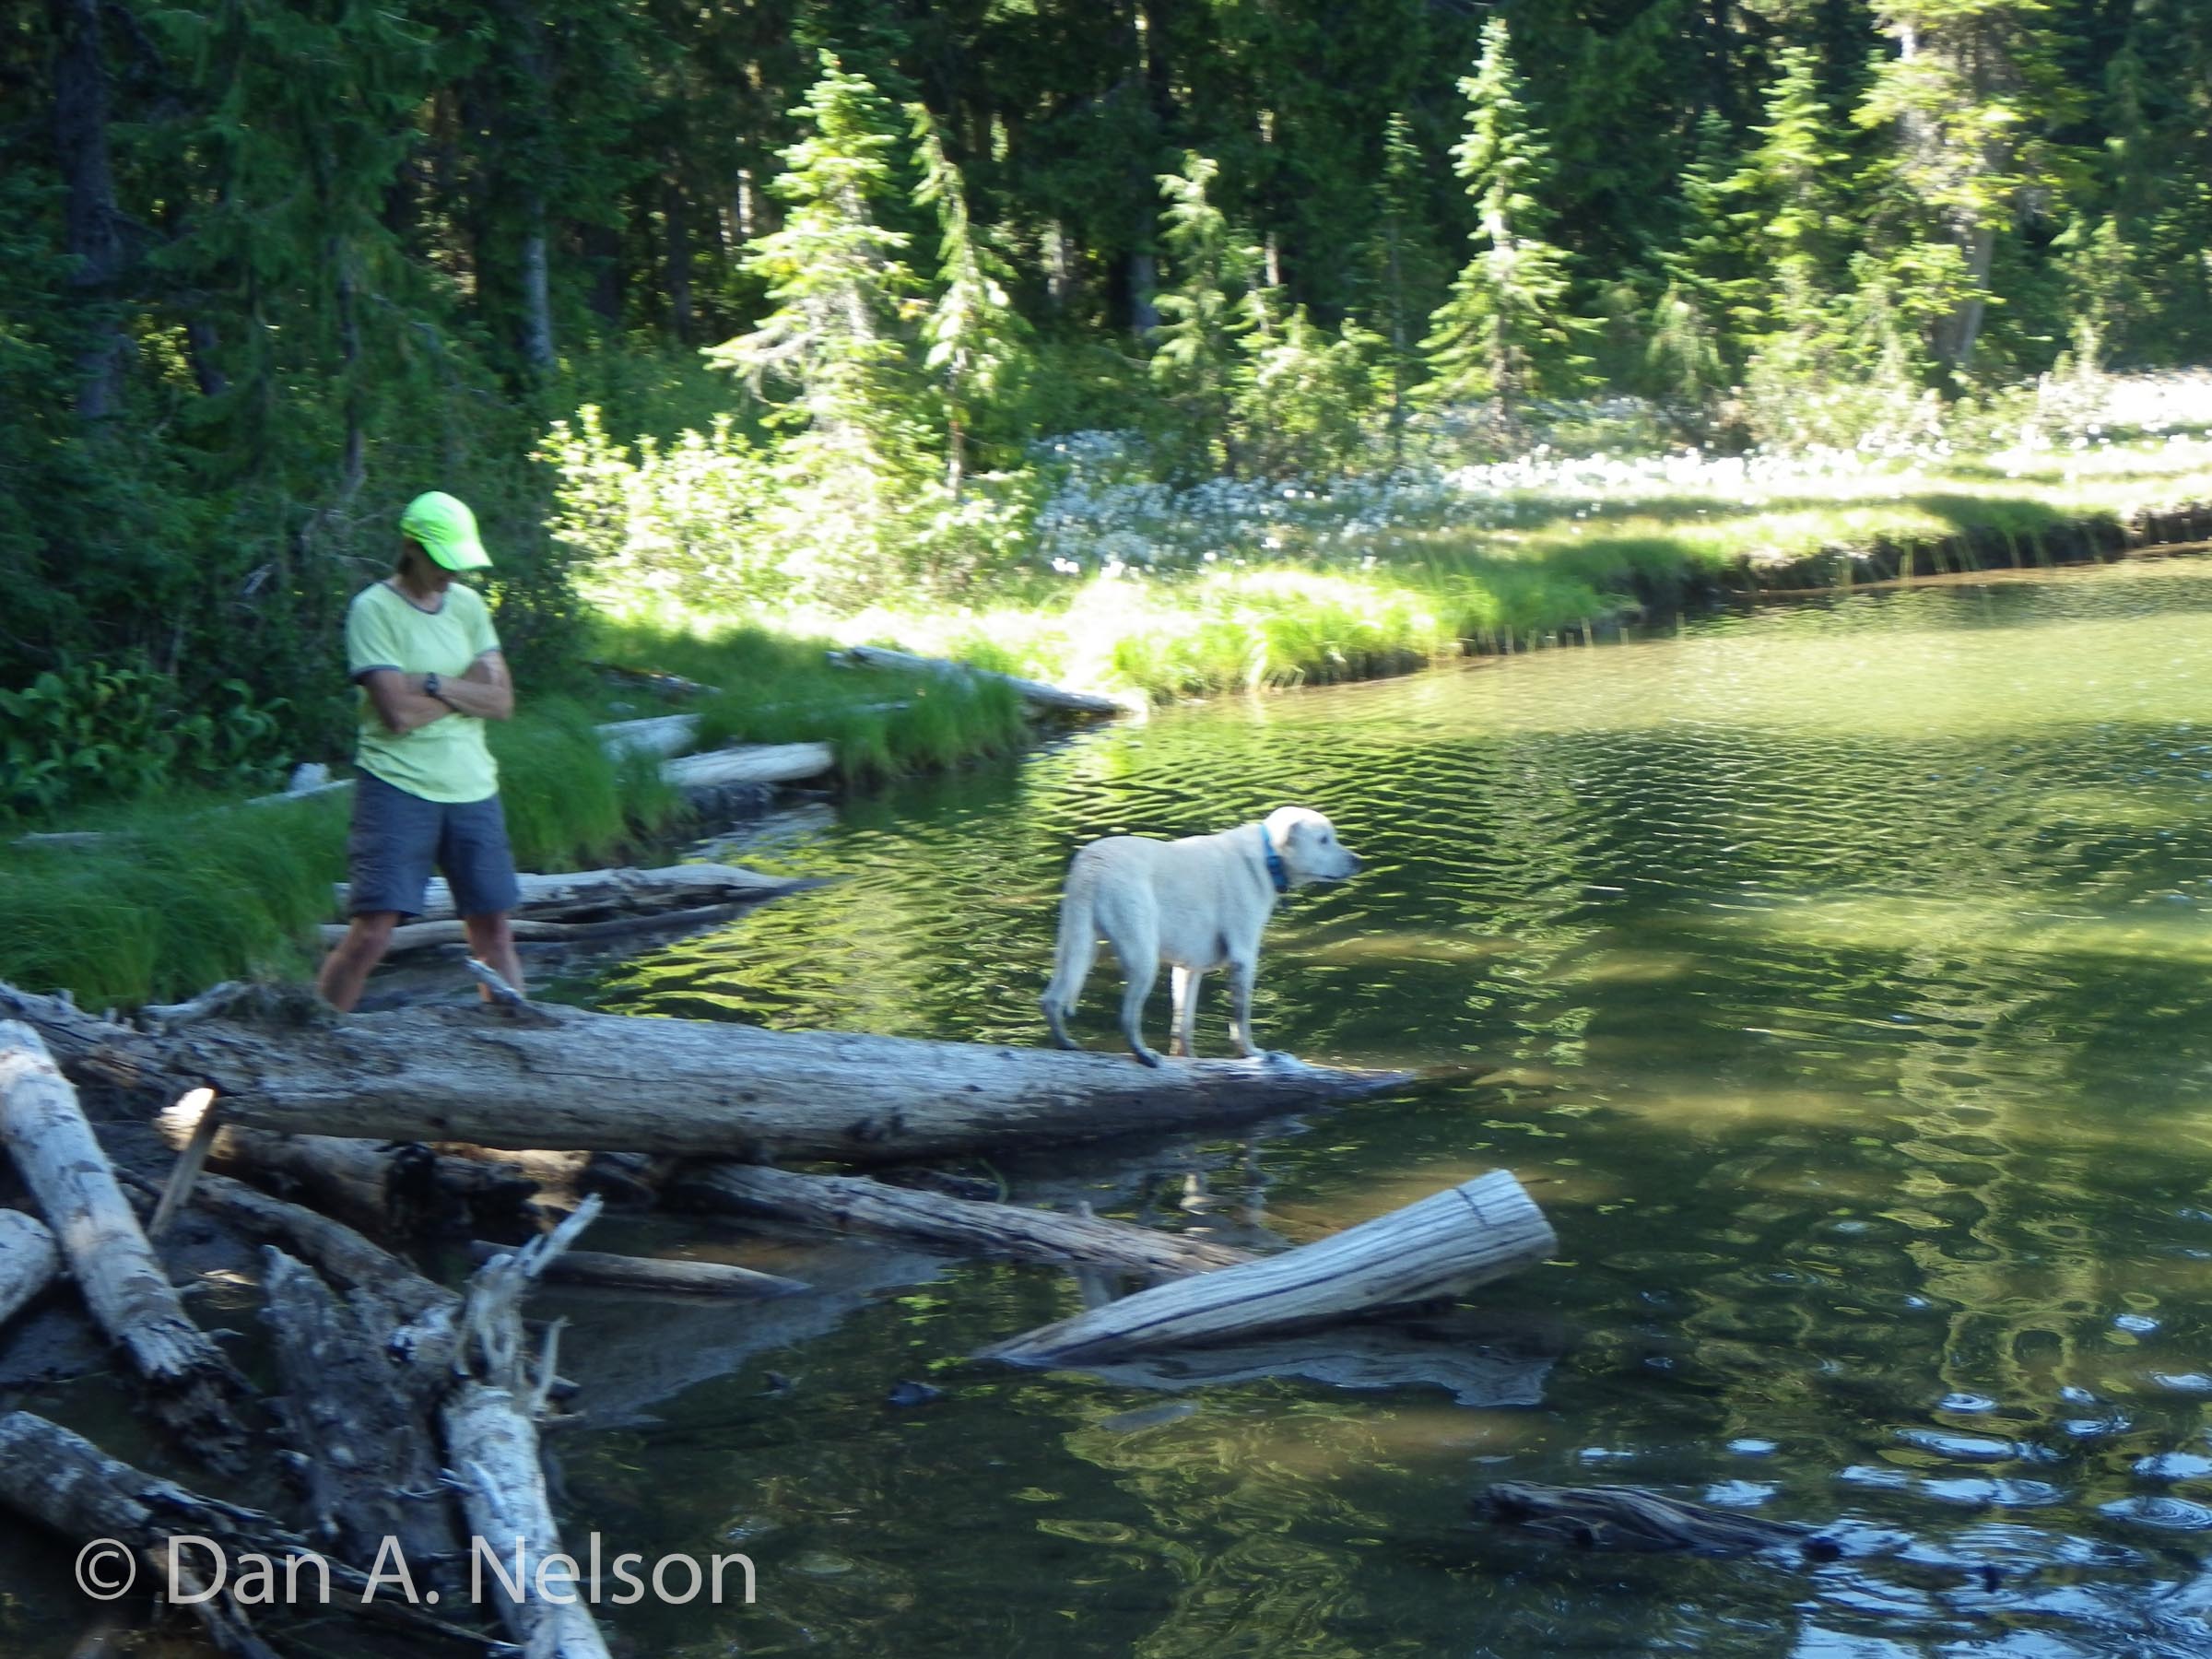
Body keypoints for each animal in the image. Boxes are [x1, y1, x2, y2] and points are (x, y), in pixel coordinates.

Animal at [1040, 809, 1362, 1070]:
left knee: (1051, 999)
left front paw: (1188, 1059)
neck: (1267, 858)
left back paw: (1066, 1044)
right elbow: (1240, 1018)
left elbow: (1183, 1024)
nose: (1358, 861)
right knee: (1128, 1016)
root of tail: (1091, 866)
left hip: (1078, 945)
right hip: (1141, 955)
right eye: (1324, 839)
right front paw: (1253, 1054)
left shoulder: (1187, 969)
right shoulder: (1243, 957)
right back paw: (1144, 1055)